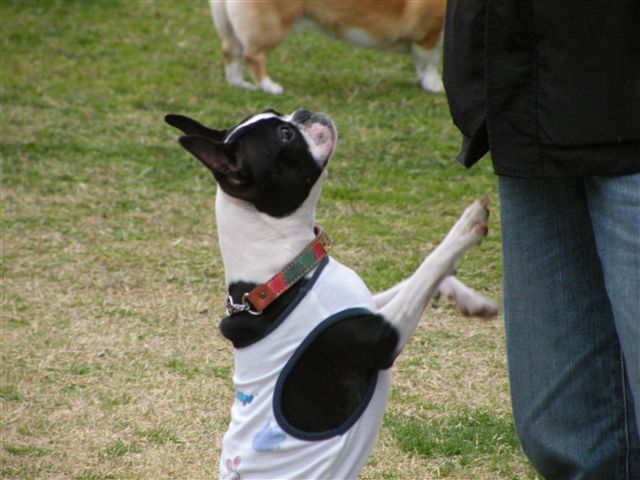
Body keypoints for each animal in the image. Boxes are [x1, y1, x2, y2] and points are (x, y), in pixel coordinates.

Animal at [165, 108, 496, 479]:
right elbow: (428, 266)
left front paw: (467, 299)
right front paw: (467, 226)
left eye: (279, 115)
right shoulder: (382, 336)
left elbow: (417, 280)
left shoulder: (368, 304)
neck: (283, 275)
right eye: (285, 135)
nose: (304, 112)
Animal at [209, 0, 447, 95]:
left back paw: (240, 84)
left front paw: (423, 81)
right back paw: (270, 87)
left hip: (232, 29)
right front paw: (435, 85)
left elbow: (421, 64)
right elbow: (430, 62)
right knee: (253, 56)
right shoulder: (429, 35)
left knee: (231, 52)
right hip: (272, 26)